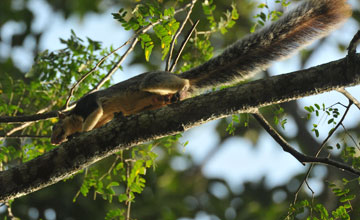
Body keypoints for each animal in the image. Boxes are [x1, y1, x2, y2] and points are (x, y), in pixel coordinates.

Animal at [50, 0, 352, 144]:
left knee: (168, 82)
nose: (53, 140)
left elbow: (96, 111)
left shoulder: (89, 104)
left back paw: (182, 87)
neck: (74, 116)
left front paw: (77, 135)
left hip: (153, 80)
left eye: (55, 127)